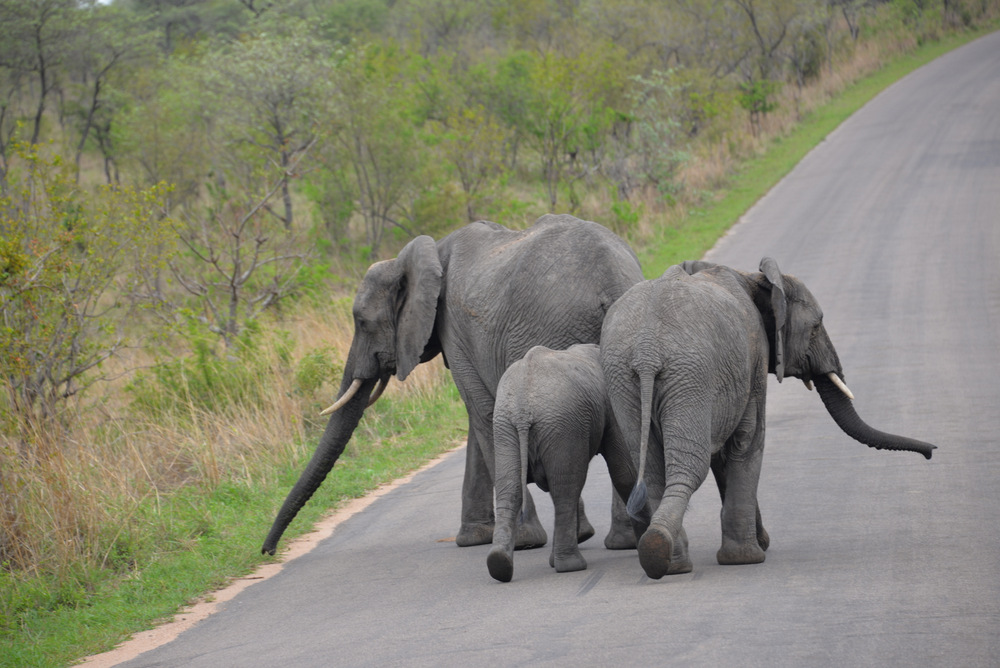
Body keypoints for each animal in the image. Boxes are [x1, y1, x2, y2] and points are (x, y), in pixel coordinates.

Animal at [262, 213, 644, 552]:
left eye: (362, 322)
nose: (267, 550)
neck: (424, 254)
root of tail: (613, 280)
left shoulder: (453, 327)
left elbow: (482, 413)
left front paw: (522, 542)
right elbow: (477, 422)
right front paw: (474, 540)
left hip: (555, 331)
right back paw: (620, 541)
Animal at [488, 342, 644, 580]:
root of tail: (522, 409)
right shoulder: (611, 408)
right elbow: (624, 471)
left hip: (506, 427)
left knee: (511, 489)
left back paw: (499, 565)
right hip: (562, 425)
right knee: (566, 490)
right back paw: (571, 566)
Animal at [600, 258, 936, 580]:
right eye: (816, 326)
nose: (932, 451)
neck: (751, 277)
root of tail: (647, 351)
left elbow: (724, 457)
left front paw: (757, 544)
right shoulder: (753, 358)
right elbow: (746, 441)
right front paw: (747, 558)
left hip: (625, 380)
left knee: (653, 470)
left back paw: (668, 560)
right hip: (691, 375)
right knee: (688, 467)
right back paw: (661, 552)